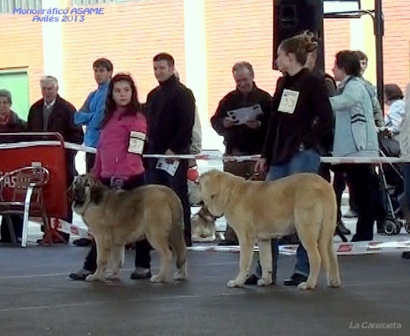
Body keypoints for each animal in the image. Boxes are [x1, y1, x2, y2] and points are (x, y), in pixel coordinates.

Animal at [191, 169, 342, 290]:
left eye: (198, 183)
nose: (188, 194)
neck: (228, 194)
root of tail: (323, 186)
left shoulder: (245, 238)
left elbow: (243, 262)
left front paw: (237, 282)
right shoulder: (263, 239)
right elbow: (266, 261)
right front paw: (265, 280)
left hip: (305, 230)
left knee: (316, 258)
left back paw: (308, 284)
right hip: (327, 233)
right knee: (333, 257)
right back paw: (334, 282)